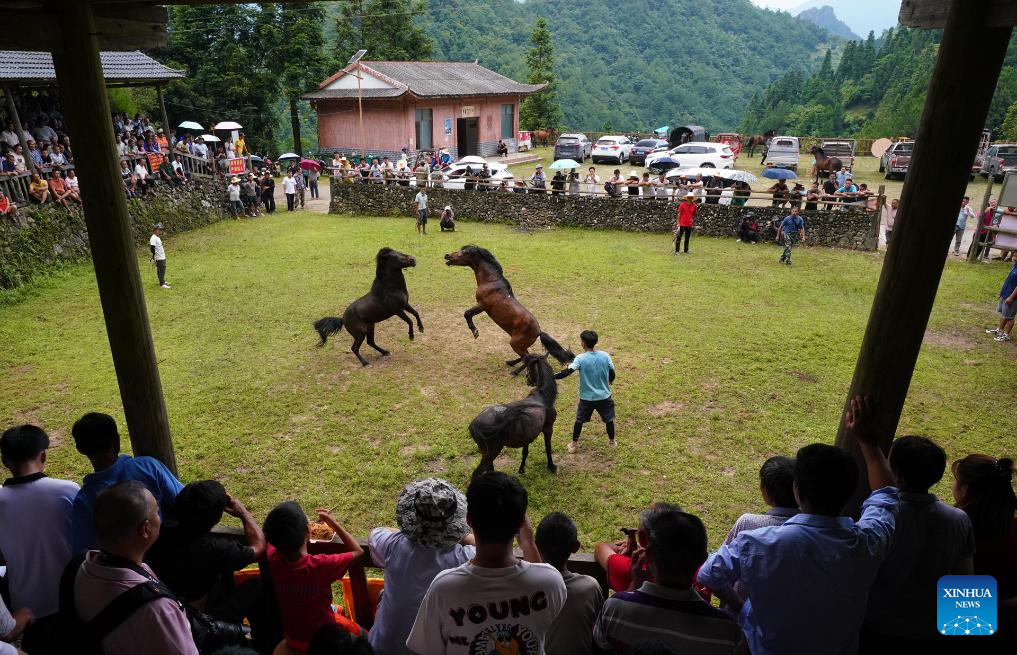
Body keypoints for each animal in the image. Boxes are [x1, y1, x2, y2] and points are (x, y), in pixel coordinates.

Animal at [443, 244, 577, 368]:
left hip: (515, 343)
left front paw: (475, 332)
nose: (447, 255)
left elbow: (467, 313)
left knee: (528, 358)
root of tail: (538, 331)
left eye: (464, 252)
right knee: (527, 356)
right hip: (519, 344)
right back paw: (511, 363)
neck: (491, 281)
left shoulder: (482, 305)